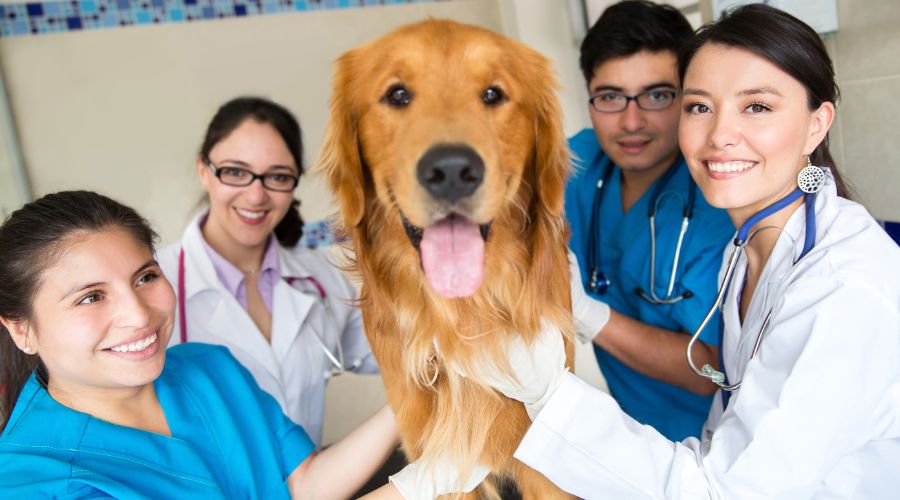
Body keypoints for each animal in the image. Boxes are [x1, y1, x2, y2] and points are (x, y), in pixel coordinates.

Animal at [320, 18, 576, 496]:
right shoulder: (437, 456)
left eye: (493, 94)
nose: (453, 170)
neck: (463, 313)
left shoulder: (544, 469)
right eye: (397, 94)